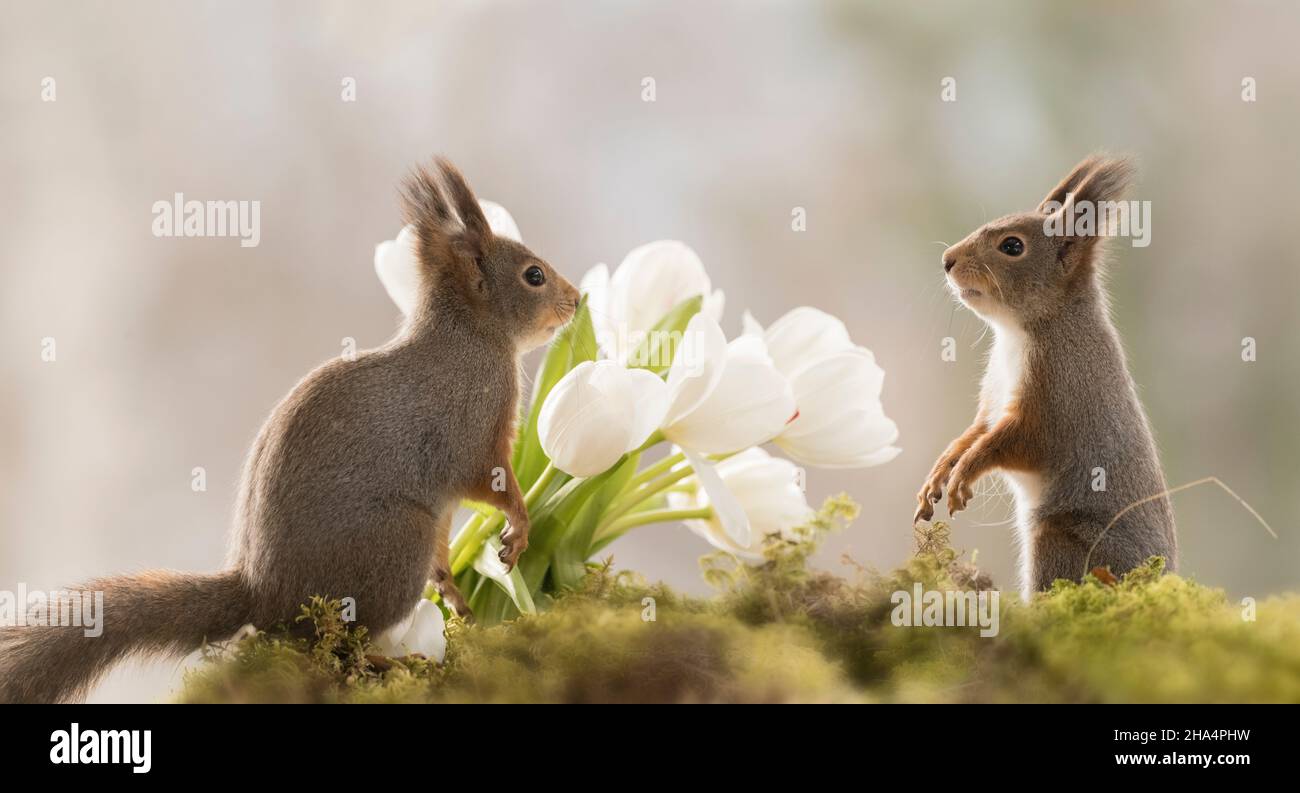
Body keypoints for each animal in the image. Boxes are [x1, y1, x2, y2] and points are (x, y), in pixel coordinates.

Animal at [0, 158, 580, 702]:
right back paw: (383, 659)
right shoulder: (470, 427)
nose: (577, 300)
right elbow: (491, 483)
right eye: (533, 275)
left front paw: (460, 596)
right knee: (337, 638)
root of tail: (265, 594)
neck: (472, 336)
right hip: (395, 544)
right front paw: (519, 527)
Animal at [914, 155, 1176, 597]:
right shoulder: (992, 400)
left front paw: (966, 470)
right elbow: (975, 431)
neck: (1017, 332)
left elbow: (1012, 441)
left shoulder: (1056, 395)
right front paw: (942, 468)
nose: (947, 260)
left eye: (1012, 246)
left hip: (1061, 541)